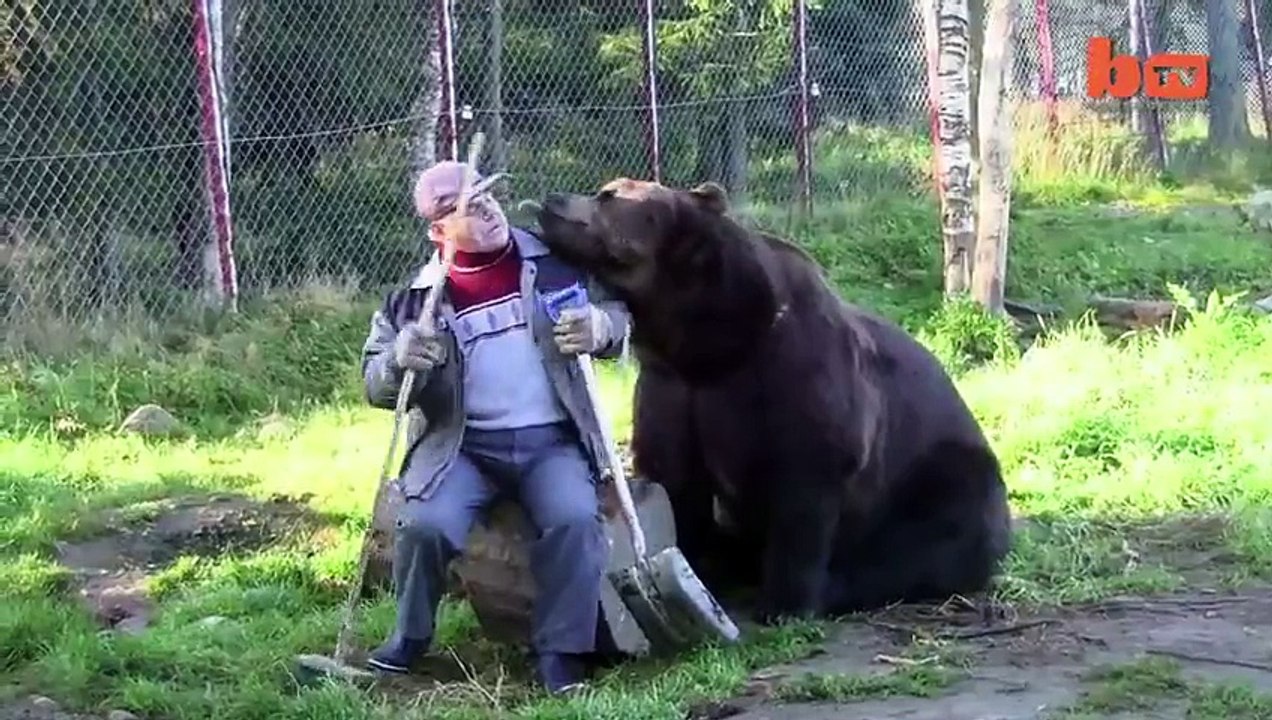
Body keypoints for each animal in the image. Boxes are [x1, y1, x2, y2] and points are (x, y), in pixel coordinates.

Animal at [532, 177, 1013, 624]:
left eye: (609, 195)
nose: (552, 200)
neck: (711, 345)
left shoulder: (796, 383)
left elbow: (803, 493)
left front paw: (784, 603)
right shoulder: (673, 387)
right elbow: (674, 480)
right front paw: (689, 569)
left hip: (943, 476)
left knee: (929, 542)